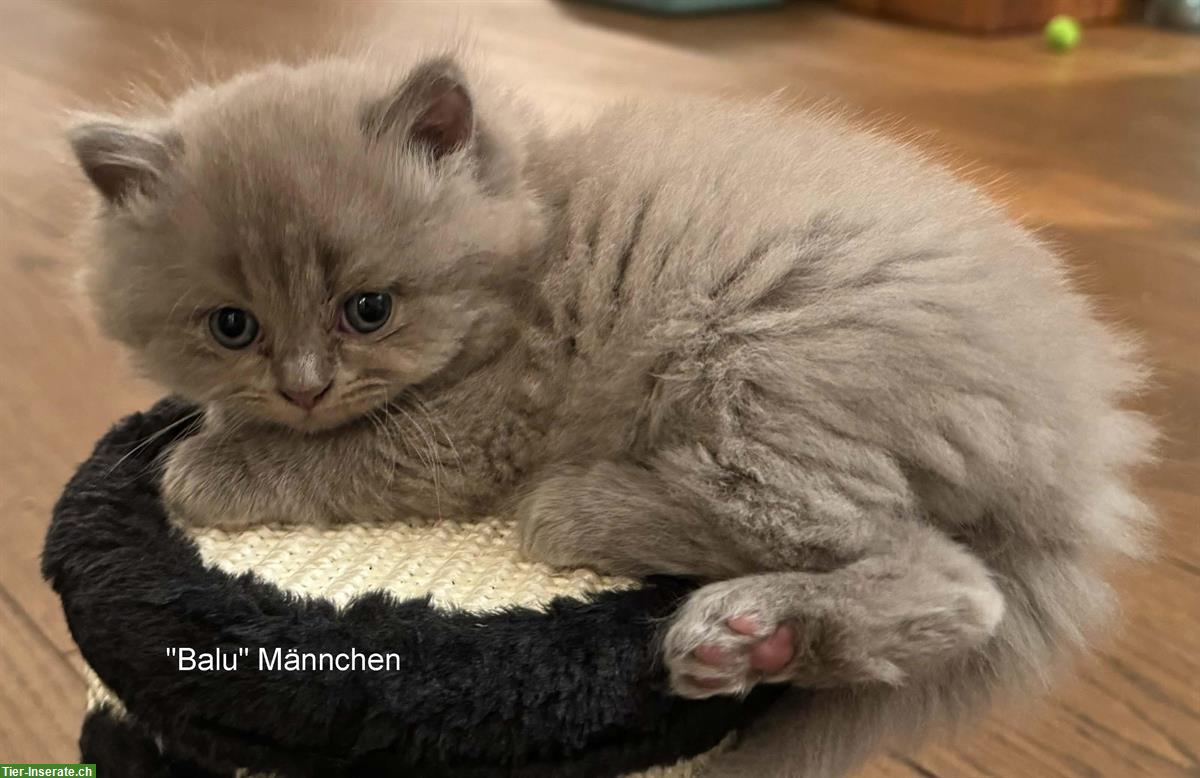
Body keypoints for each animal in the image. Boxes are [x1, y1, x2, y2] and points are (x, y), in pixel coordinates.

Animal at [72, 54, 1152, 778]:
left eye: (368, 309)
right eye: (232, 326)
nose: (303, 384)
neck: (536, 227)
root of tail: (1081, 451)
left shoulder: (476, 426)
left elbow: (344, 454)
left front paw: (206, 466)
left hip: (763, 354)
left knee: (884, 547)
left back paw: (602, 522)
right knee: (956, 590)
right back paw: (754, 640)